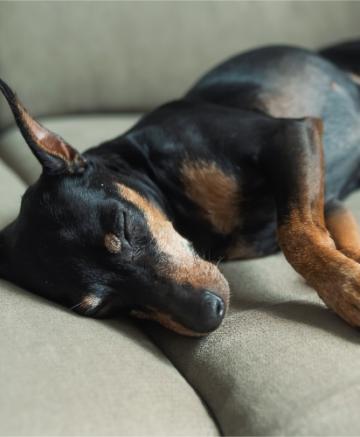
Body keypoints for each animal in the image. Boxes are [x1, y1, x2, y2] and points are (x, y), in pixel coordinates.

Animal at [0, 40, 360, 334]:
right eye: (103, 307)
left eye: (124, 225)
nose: (210, 315)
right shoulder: (327, 195)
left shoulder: (288, 134)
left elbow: (297, 234)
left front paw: (347, 288)